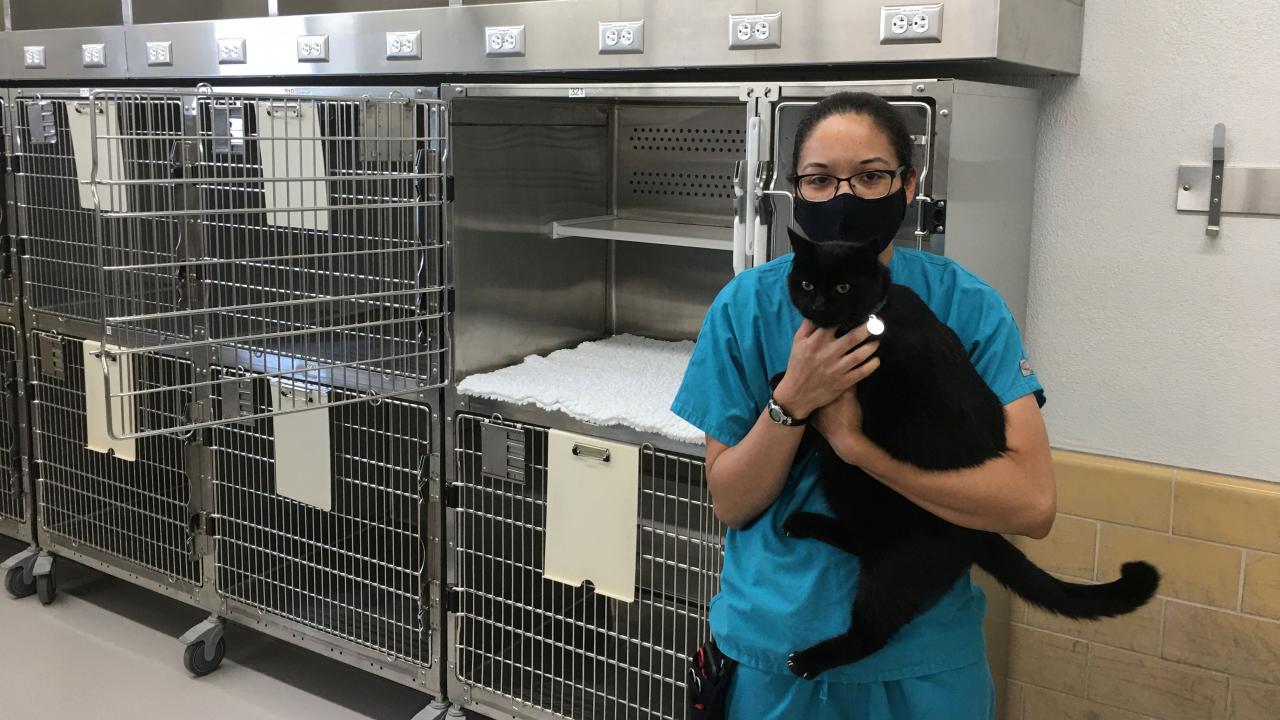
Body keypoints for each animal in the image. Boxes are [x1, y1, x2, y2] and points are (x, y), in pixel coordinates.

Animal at [768, 229, 1162, 676]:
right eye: (806, 284)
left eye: (842, 288)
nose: (817, 304)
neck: (862, 325)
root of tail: (981, 530)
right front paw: (784, 390)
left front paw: (784, 384)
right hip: (846, 484)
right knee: (861, 539)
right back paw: (803, 522)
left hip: (896, 551)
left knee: (872, 629)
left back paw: (811, 658)